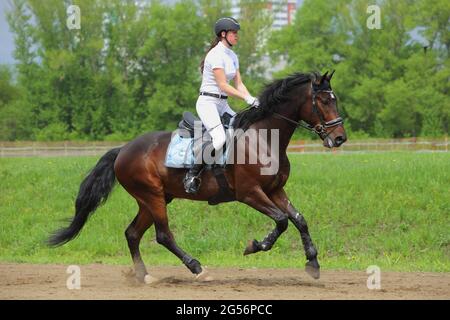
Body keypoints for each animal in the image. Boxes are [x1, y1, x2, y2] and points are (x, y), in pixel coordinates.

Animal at [49, 70, 346, 282]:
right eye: (322, 100)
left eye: (335, 99)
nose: (340, 138)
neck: (263, 138)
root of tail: (123, 149)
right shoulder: (250, 194)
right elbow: (282, 221)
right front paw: (254, 246)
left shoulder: (275, 191)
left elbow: (299, 219)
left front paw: (313, 262)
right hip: (152, 196)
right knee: (163, 235)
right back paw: (196, 268)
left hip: (153, 199)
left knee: (133, 233)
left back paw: (144, 276)